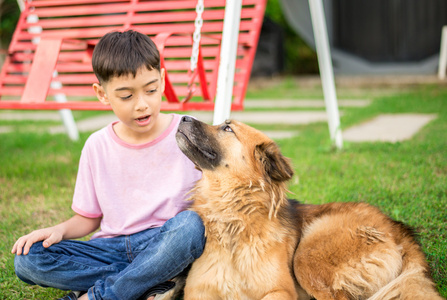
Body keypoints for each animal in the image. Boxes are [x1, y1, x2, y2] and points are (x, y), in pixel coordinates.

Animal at [174, 116, 440, 300]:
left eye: (227, 128)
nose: (183, 117)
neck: (233, 217)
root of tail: (396, 227)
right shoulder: (197, 292)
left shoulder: (281, 291)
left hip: (307, 256)